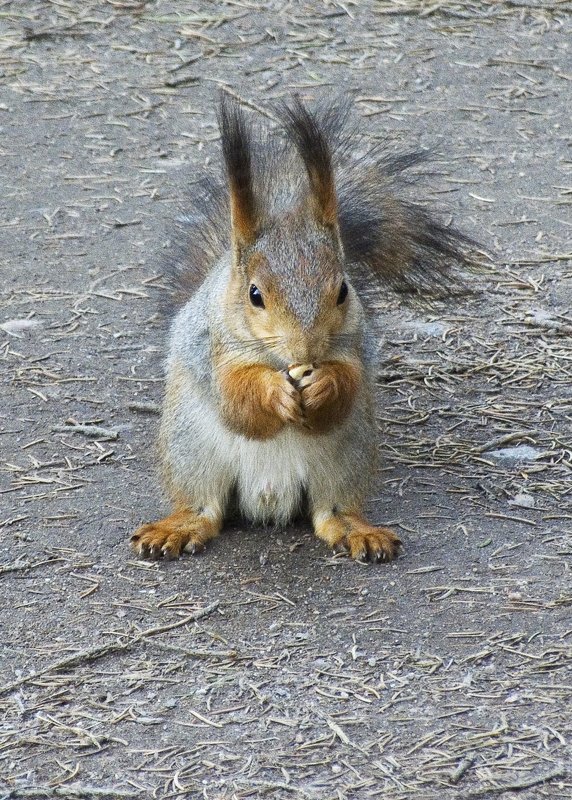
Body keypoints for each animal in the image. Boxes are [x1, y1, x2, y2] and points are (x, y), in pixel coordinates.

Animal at [131, 95, 474, 564]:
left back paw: (355, 529)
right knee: (205, 506)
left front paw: (325, 384)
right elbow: (237, 400)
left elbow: (347, 385)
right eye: (255, 294)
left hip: (346, 456)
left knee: (329, 510)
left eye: (343, 289)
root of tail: (267, 500)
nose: (306, 351)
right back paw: (180, 526)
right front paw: (274, 392)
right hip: (191, 447)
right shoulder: (215, 347)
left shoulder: (354, 346)